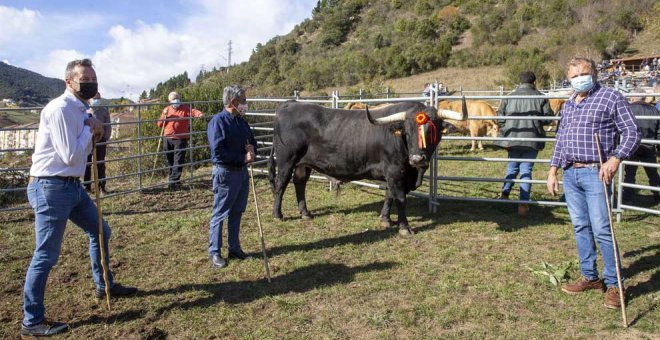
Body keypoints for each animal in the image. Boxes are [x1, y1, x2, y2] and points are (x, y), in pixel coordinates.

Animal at [266, 99, 466, 234]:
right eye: (407, 132)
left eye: (432, 130)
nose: (417, 158)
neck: (414, 172)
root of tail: (290, 104)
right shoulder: (395, 171)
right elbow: (400, 198)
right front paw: (404, 227)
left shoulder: (392, 174)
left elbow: (389, 195)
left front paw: (385, 219)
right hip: (286, 160)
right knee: (281, 185)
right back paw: (278, 215)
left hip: (303, 164)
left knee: (299, 183)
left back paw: (305, 213)